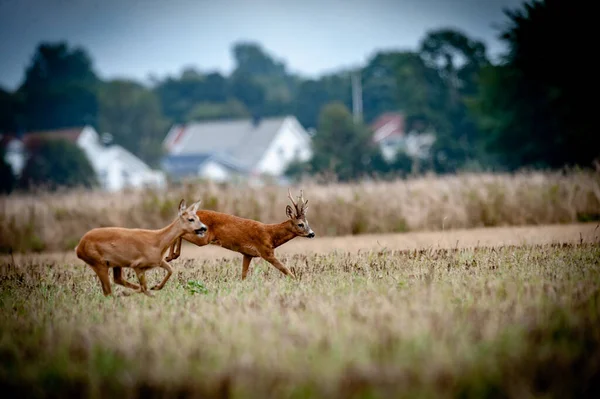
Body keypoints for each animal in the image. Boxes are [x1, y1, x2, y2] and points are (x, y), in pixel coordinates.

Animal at [75, 200, 207, 296]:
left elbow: (170, 270)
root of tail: (78, 247)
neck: (158, 241)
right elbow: (144, 287)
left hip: (115, 263)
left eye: (199, 218)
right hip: (98, 263)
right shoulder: (137, 265)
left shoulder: (157, 261)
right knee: (109, 291)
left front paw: (156, 287)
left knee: (116, 281)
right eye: (191, 219)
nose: (204, 228)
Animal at [164, 189, 314, 280]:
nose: (312, 234)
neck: (271, 235)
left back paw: (170, 256)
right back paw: (171, 256)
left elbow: (243, 275)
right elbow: (286, 271)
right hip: (203, 239)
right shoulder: (266, 251)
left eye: (308, 222)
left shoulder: (247, 254)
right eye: (300, 224)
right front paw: (297, 282)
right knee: (180, 232)